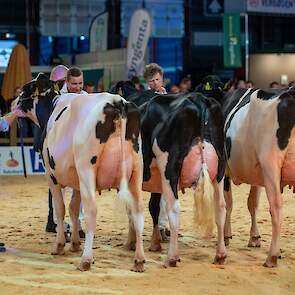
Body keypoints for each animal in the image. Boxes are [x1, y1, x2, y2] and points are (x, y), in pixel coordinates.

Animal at [16, 73, 146, 272]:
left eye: (25, 88)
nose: (13, 101)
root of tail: (117, 102)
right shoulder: (76, 180)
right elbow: (74, 208)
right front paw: (75, 243)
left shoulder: (51, 175)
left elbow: (60, 208)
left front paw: (60, 245)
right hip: (136, 171)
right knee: (138, 210)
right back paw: (138, 260)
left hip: (87, 170)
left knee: (92, 210)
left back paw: (86, 259)